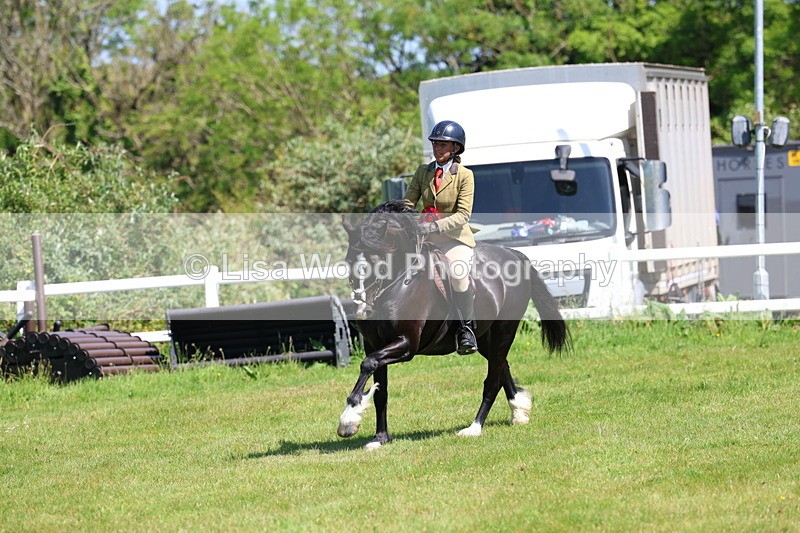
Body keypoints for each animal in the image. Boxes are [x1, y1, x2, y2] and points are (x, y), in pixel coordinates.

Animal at [338, 200, 569, 450]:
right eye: (348, 262)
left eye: (379, 264)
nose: (363, 312)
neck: (399, 282)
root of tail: (513, 254)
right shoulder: (375, 344)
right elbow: (380, 391)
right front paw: (379, 438)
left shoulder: (407, 344)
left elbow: (368, 364)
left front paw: (348, 418)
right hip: (485, 338)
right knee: (502, 367)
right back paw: (518, 411)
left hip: (504, 330)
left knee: (492, 380)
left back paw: (474, 428)